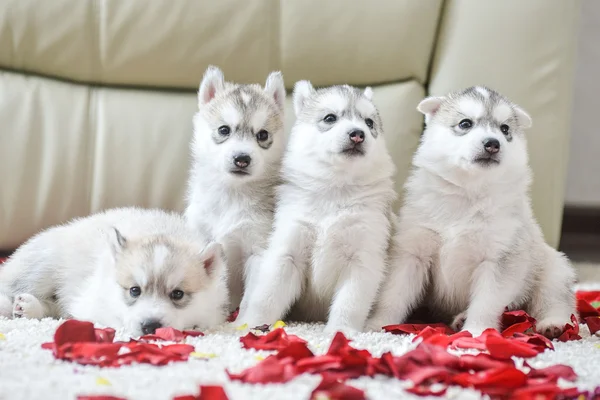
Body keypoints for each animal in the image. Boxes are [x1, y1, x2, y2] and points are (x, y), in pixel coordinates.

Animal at [0, 208, 229, 336]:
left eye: (178, 294)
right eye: (135, 290)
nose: (150, 326)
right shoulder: (93, 302)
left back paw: (28, 307)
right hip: (41, 266)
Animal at [184, 65, 288, 310]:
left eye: (262, 135)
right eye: (224, 130)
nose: (242, 159)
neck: (232, 193)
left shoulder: (257, 250)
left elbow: (251, 298)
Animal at [239, 80, 398, 332]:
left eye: (369, 122)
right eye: (330, 118)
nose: (358, 134)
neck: (336, 188)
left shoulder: (363, 257)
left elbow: (349, 303)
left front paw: (341, 331)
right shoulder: (288, 252)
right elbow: (267, 296)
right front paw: (253, 325)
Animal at [366, 86, 576, 338]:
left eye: (505, 129)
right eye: (465, 124)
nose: (493, 143)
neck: (467, 192)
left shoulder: (498, 257)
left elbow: (486, 302)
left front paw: (477, 332)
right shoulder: (413, 252)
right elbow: (393, 295)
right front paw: (378, 325)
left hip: (553, 270)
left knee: (555, 300)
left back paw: (553, 323)